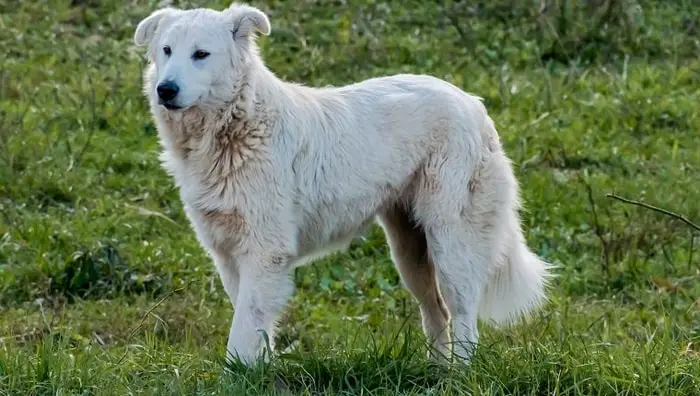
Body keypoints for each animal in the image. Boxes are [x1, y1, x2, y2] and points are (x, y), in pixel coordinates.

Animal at [134, 2, 548, 366]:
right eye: (167, 51)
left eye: (201, 54)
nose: (165, 90)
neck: (234, 127)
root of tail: (473, 104)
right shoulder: (229, 254)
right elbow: (254, 328)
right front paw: (261, 374)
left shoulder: (265, 252)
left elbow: (243, 331)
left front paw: (238, 377)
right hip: (409, 249)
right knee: (437, 313)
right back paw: (436, 373)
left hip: (451, 242)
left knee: (463, 315)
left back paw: (459, 376)